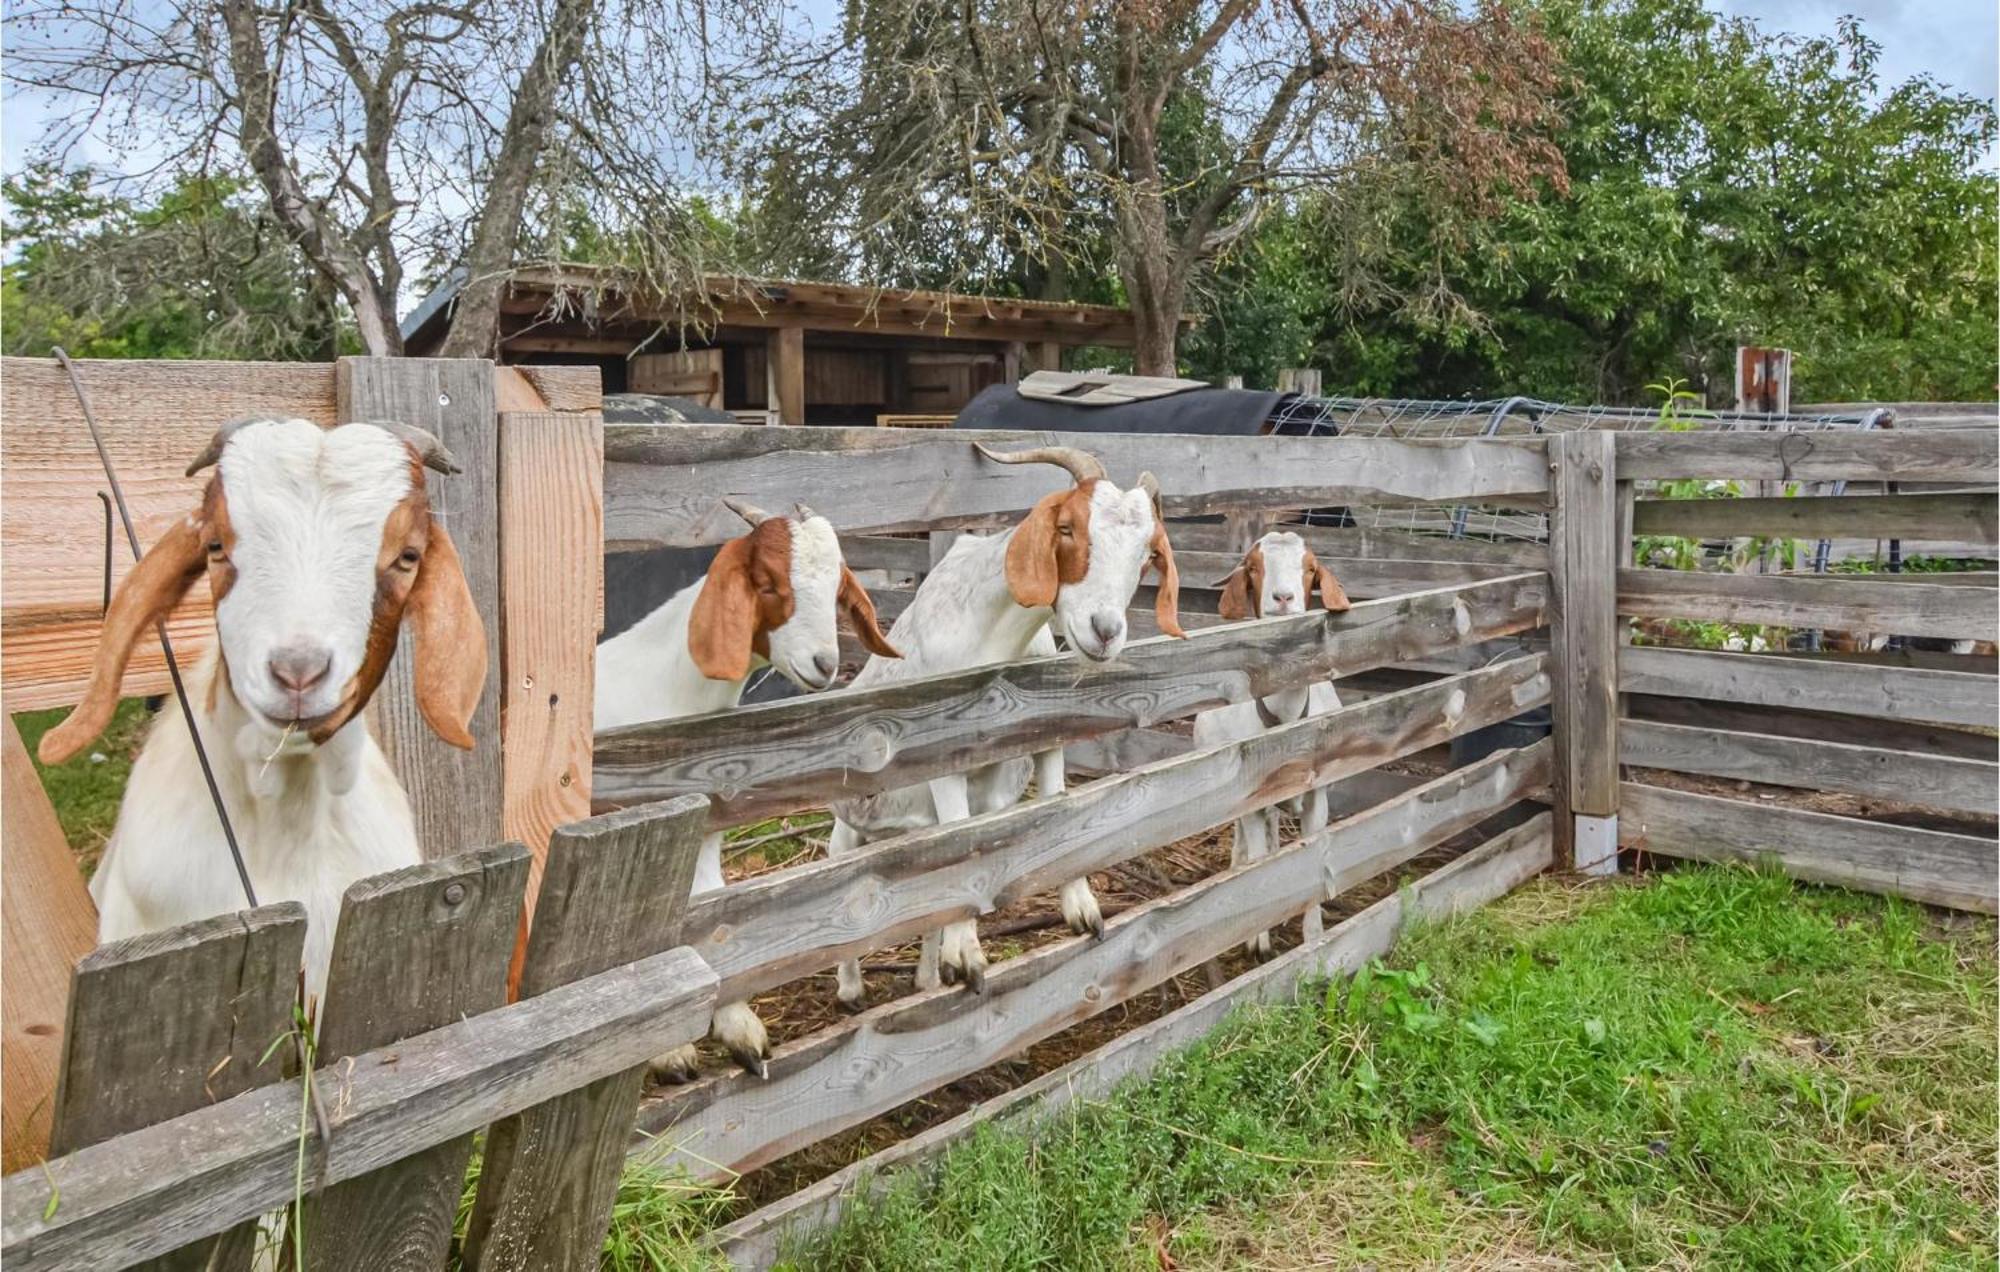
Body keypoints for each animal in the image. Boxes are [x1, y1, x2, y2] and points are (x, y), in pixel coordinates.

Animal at [592, 494, 900, 1072]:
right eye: (766, 582)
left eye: (836, 591)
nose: (824, 663)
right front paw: (670, 1054)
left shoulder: (707, 824)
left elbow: (714, 910)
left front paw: (739, 1028)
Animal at [828, 442, 1184, 1008]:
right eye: (1067, 528)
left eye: (1148, 553)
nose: (1104, 631)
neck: (994, 635)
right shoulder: (940, 748)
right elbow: (961, 836)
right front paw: (969, 954)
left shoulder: (1043, 730)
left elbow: (1056, 803)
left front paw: (1082, 907)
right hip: (848, 827)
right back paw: (850, 989)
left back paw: (928, 977)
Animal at [1192, 528, 1352, 952]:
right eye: (1253, 567)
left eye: (1310, 568)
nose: (1283, 598)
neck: (1286, 718)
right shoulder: (1248, 798)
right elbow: (1257, 858)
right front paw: (1257, 939)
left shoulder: (1317, 796)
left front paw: (1314, 936)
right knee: (1246, 840)